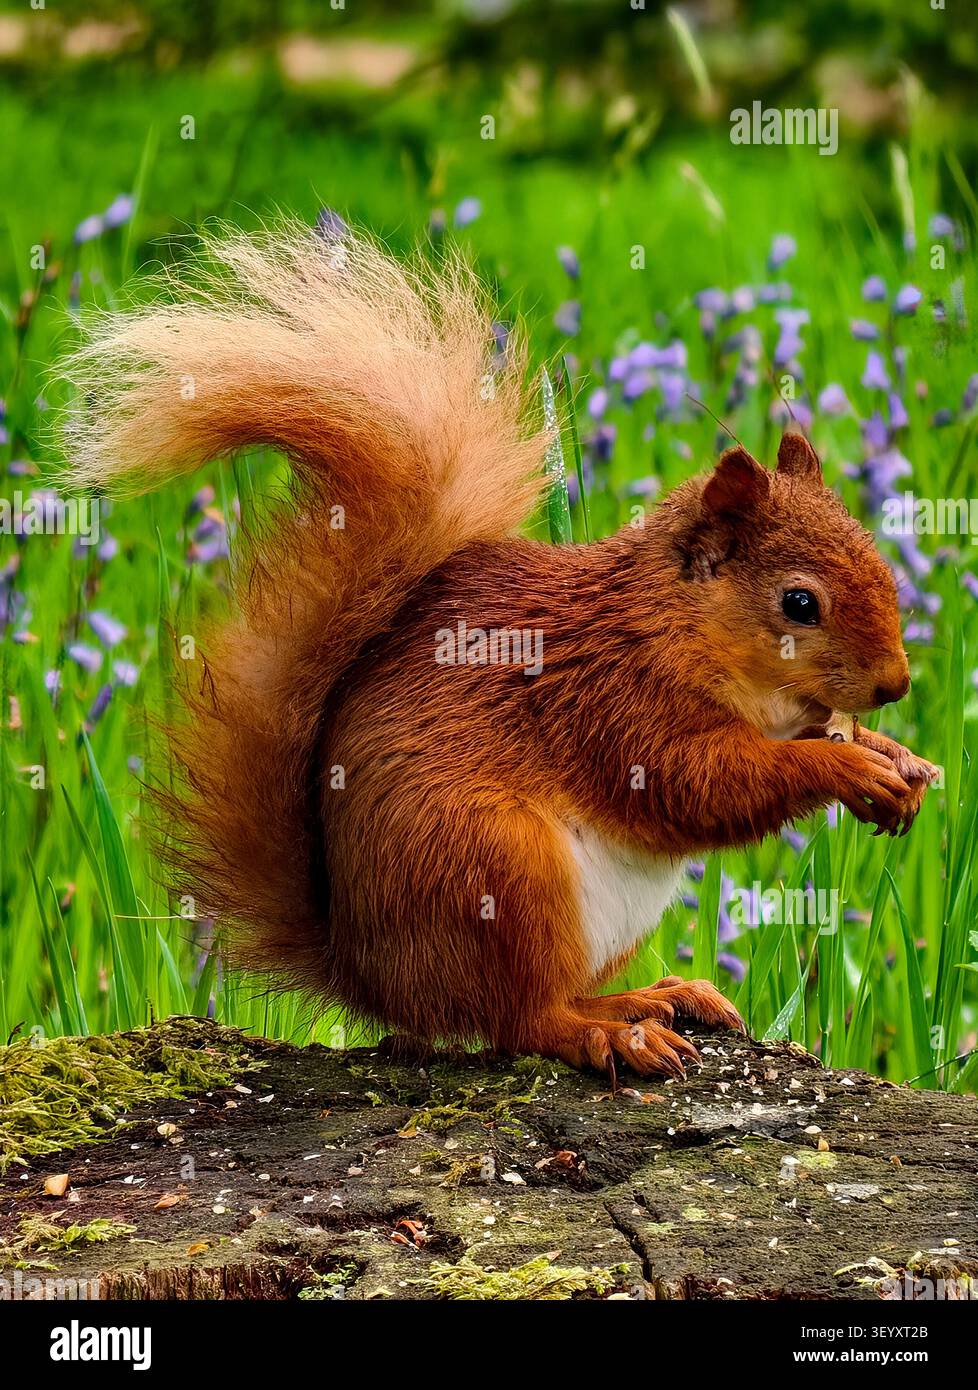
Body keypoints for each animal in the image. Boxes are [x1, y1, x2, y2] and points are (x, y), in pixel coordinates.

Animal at [64, 222, 939, 1081]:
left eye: (880, 559)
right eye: (799, 604)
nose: (896, 685)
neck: (680, 624)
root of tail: (372, 978)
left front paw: (899, 759)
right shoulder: (615, 698)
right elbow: (704, 783)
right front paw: (845, 768)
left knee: (553, 997)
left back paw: (655, 995)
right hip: (495, 865)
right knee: (522, 1018)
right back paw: (614, 1035)